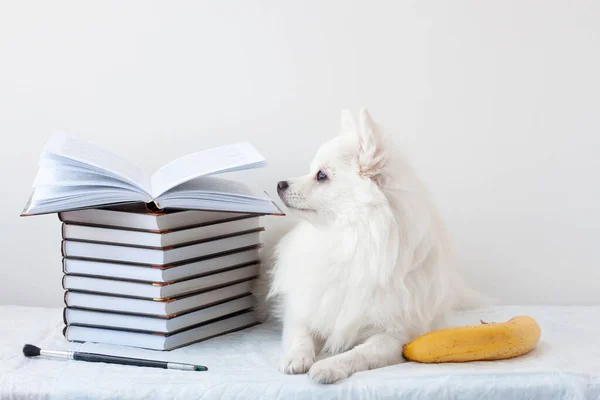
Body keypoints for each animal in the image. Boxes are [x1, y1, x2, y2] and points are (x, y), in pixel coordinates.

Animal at [264, 108, 478, 382]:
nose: (280, 184)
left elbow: (361, 353)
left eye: (321, 175)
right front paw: (296, 357)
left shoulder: (395, 336)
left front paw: (329, 366)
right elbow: (300, 335)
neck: (348, 239)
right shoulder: (302, 311)